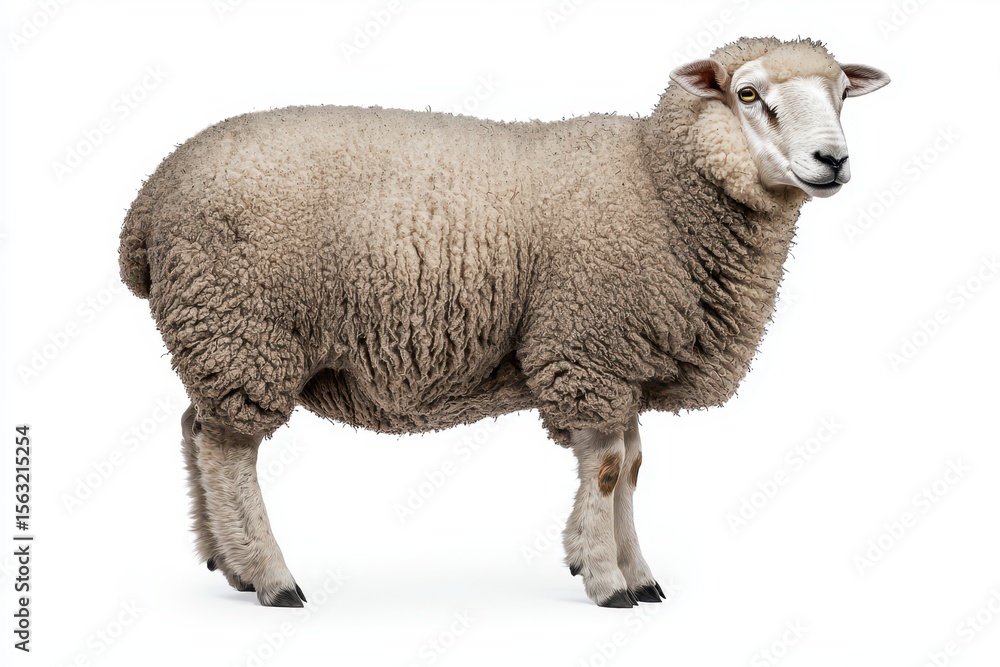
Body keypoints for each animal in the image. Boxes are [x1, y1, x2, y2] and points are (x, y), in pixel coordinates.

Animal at [119, 36, 889, 608]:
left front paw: (629, 570)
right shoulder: (587, 348)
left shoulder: (620, 365)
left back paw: (228, 561)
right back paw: (274, 578)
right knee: (230, 454)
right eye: (748, 94)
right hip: (244, 329)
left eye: (841, 94)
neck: (658, 183)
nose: (833, 160)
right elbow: (606, 470)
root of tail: (149, 198)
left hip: (217, 337)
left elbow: (633, 469)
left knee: (196, 430)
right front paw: (608, 581)